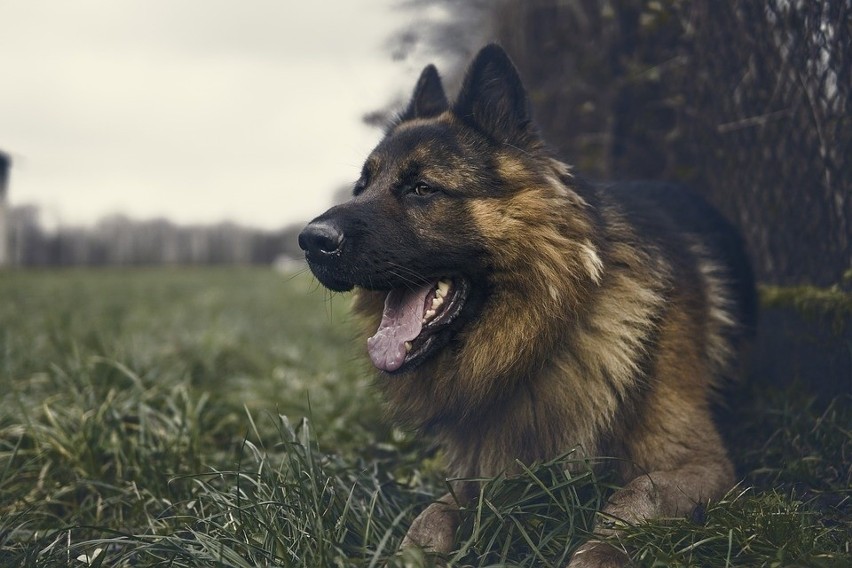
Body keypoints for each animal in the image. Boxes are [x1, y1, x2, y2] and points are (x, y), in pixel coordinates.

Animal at [298, 43, 752, 564]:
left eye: (422, 188)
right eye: (361, 187)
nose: (310, 242)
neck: (546, 336)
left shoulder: (701, 463)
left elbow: (635, 497)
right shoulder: (476, 475)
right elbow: (430, 516)